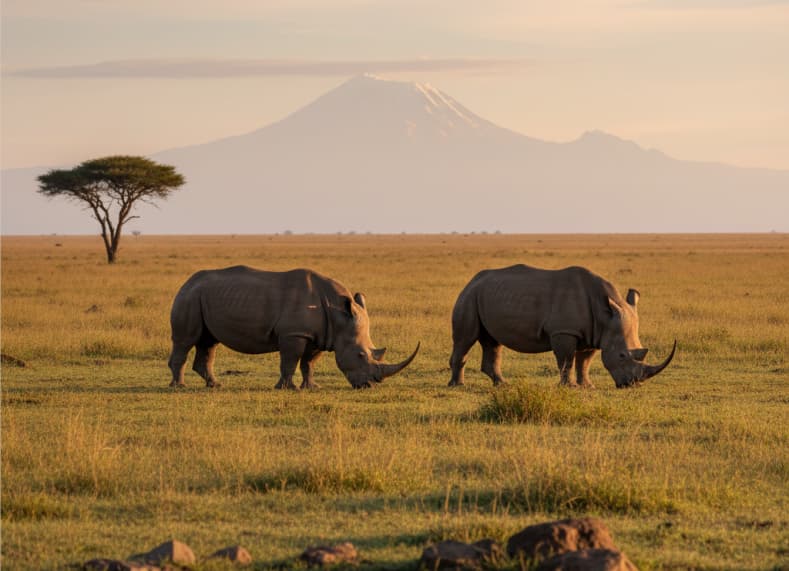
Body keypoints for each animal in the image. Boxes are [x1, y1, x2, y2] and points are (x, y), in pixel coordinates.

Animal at [168, 266, 419, 389]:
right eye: (360, 355)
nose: (370, 385)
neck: (339, 315)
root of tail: (186, 282)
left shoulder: (320, 335)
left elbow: (309, 363)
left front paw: (312, 387)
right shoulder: (294, 334)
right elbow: (290, 360)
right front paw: (288, 388)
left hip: (202, 297)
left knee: (209, 342)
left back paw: (215, 385)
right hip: (189, 298)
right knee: (185, 341)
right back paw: (178, 386)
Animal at [448, 265, 676, 388]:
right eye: (621, 355)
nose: (631, 385)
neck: (605, 314)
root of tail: (472, 280)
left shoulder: (594, 333)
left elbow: (584, 361)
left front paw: (588, 386)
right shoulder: (564, 332)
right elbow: (566, 360)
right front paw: (570, 387)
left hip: (486, 294)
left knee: (493, 343)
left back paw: (502, 384)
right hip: (469, 296)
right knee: (465, 339)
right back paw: (458, 385)